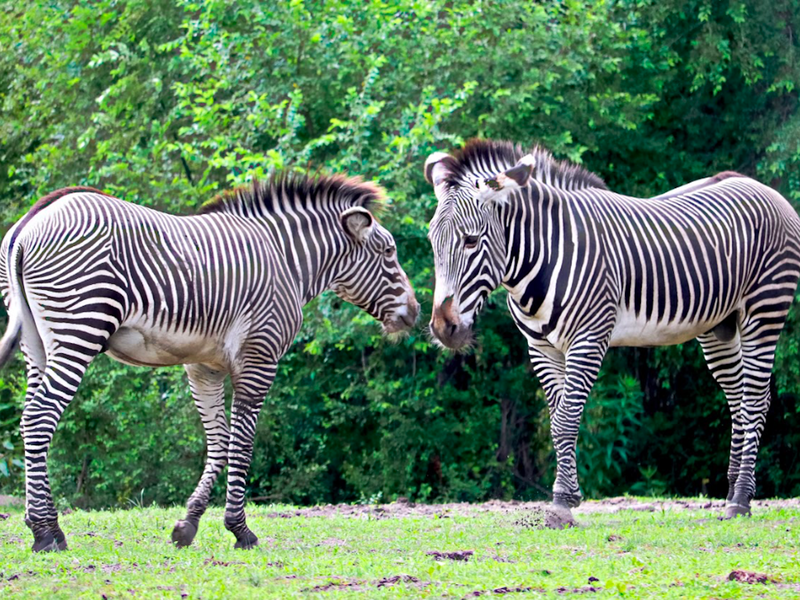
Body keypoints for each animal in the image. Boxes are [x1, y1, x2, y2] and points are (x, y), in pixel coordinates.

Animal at [0, 171, 422, 552]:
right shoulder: (259, 356)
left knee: (28, 418)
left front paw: (187, 526)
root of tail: (33, 218)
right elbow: (242, 443)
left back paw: (38, 524)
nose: (416, 313)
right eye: (388, 252)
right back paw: (47, 533)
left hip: (36, 344)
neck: (284, 260)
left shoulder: (204, 366)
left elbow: (218, 442)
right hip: (80, 328)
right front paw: (241, 530)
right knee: (40, 417)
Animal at [424, 138, 800, 528]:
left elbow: (566, 419)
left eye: (470, 241)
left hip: (764, 310)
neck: (542, 256)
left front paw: (561, 503)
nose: (443, 328)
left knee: (755, 400)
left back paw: (740, 500)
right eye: (432, 241)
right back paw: (734, 494)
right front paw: (571, 494)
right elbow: (558, 419)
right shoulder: (541, 347)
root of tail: (759, 186)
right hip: (719, 328)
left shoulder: (589, 338)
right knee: (740, 399)